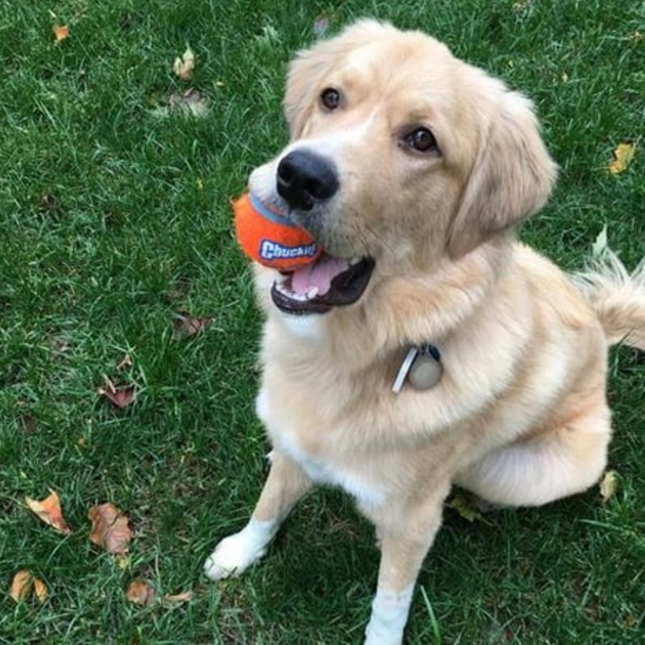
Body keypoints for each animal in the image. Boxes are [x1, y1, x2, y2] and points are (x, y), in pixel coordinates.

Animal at [203, 21, 644, 644]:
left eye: (421, 139)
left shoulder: (410, 521)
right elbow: (268, 505)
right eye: (331, 97)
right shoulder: (295, 442)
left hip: (530, 468)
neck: (353, 354)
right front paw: (241, 551)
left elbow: (390, 602)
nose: (298, 176)